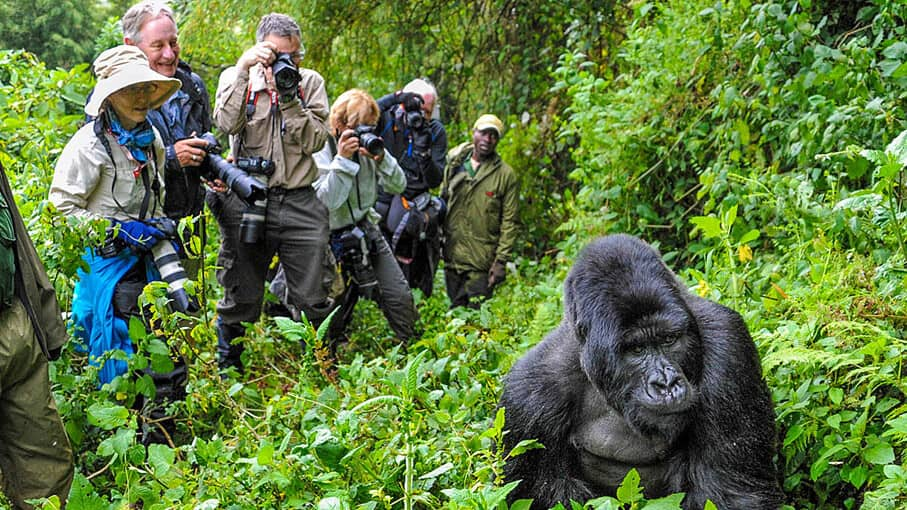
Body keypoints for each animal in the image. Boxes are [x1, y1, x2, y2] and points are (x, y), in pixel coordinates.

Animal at [496, 236, 780, 510]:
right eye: (636, 349)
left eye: (669, 339)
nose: (667, 383)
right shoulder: (529, 398)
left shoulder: (728, 344)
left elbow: (731, 492)